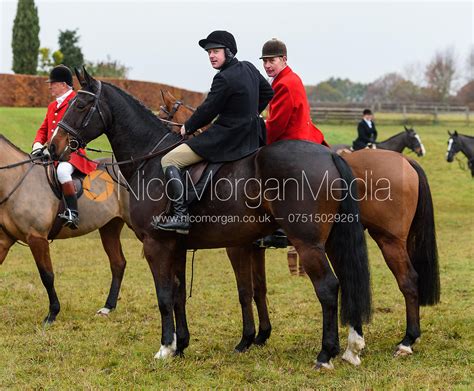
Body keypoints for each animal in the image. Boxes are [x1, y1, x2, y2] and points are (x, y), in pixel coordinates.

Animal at [49, 68, 374, 370]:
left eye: (80, 105)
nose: (54, 147)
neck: (151, 161)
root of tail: (330, 155)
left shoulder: (157, 245)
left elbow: (165, 295)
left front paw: (165, 348)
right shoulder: (178, 247)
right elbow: (180, 293)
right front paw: (181, 345)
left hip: (307, 243)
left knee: (328, 287)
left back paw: (325, 354)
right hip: (330, 240)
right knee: (348, 280)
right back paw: (352, 347)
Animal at [160, 90, 440, 362]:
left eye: (163, 113)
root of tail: (405, 162)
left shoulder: (237, 247)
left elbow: (245, 291)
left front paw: (246, 340)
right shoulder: (254, 247)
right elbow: (259, 288)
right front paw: (262, 335)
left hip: (386, 239)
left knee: (407, 280)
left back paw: (405, 342)